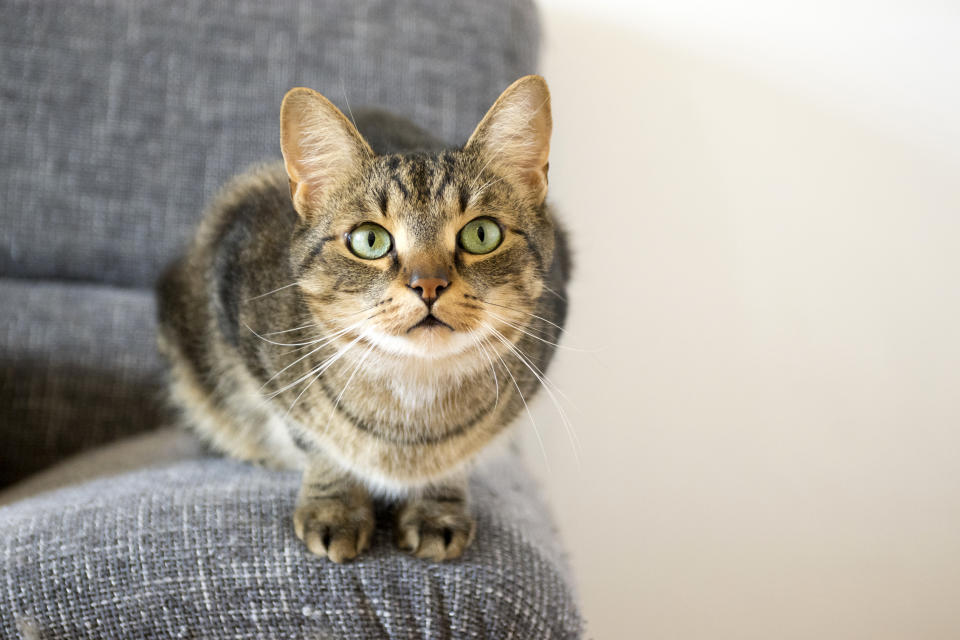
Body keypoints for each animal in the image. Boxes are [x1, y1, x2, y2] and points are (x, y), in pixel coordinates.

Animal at [158, 75, 568, 564]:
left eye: (482, 234)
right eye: (369, 240)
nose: (428, 285)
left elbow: (456, 460)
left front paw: (436, 508)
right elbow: (318, 444)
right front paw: (336, 509)